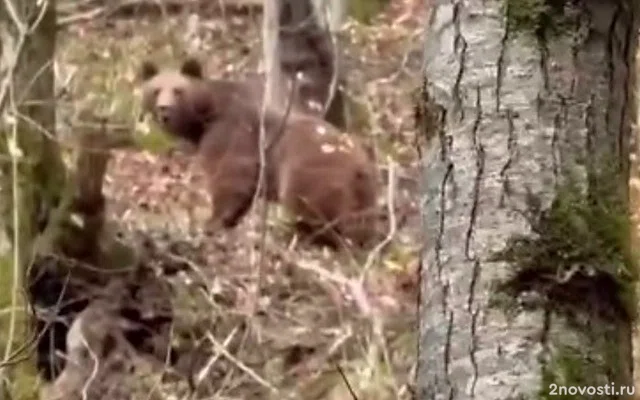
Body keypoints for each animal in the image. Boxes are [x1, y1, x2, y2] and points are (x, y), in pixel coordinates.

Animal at [138, 57, 378, 248]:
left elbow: (231, 178)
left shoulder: (232, 134)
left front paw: (213, 222)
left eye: (178, 90)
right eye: (156, 90)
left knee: (309, 208)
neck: (204, 120)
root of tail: (358, 164)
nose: (164, 109)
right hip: (364, 194)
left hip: (310, 172)